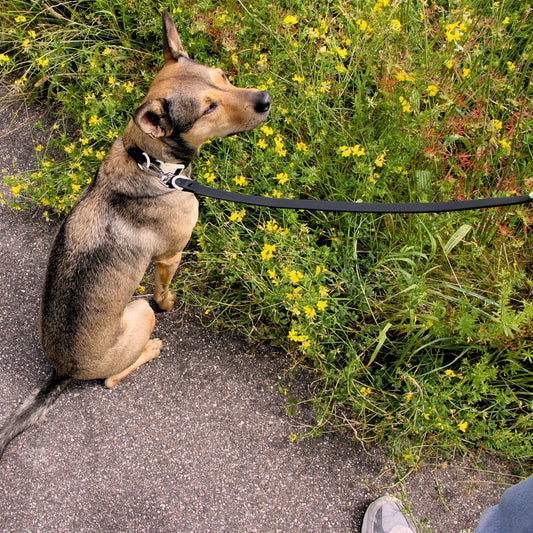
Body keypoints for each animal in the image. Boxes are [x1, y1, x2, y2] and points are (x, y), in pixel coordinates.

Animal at [0, 8, 272, 458]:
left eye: (222, 76)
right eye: (209, 108)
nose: (266, 100)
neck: (150, 162)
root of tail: (62, 371)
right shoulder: (169, 256)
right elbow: (164, 291)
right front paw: (170, 302)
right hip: (138, 313)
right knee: (112, 377)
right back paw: (151, 347)